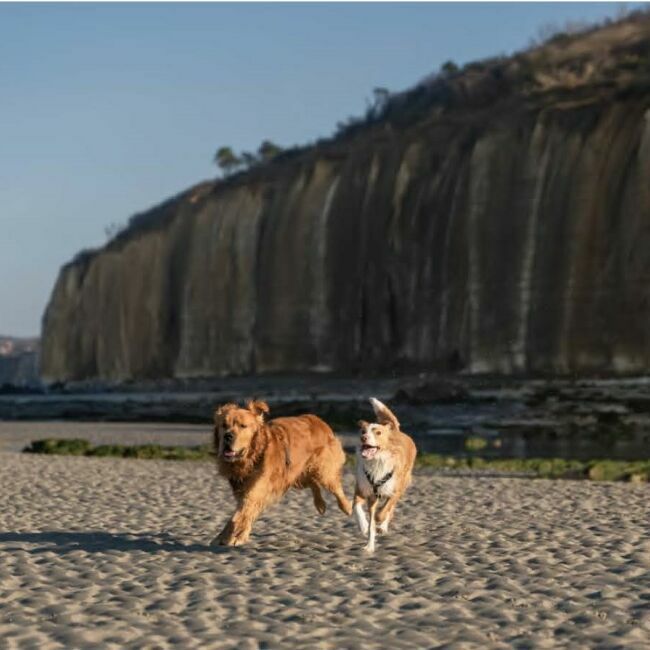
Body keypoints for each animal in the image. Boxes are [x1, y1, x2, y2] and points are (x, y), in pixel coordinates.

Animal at [354, 394, 416, 552]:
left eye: (378, 433)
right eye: (363, 431)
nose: (363, 438)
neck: (377, 461)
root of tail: (395, 430)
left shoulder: (394, 491)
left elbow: (383, 512)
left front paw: (379, 523)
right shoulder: (363, 490)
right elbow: (357, 508)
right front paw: (365, 530)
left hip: (402, 484)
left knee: (391, 509)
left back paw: (382, 526)